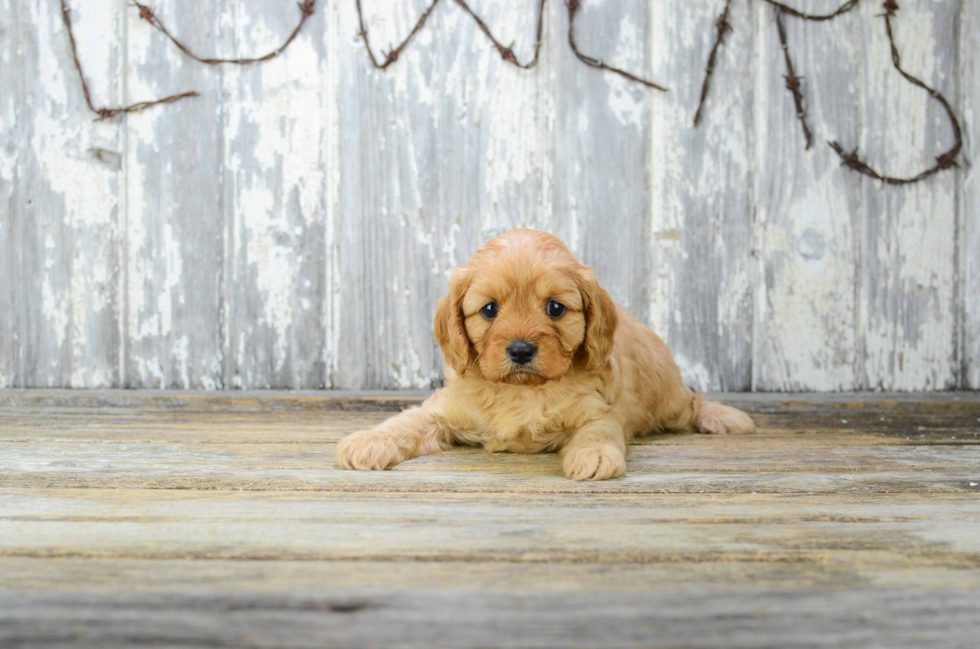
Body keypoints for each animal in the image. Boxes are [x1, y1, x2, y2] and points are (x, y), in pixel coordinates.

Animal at [336, 230, 756, 478]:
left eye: (555, 308)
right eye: (489, 309)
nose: (521, 350)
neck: (521, 390)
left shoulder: (600, 410)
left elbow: (597, 432)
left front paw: (593, 456)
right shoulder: (442, 410)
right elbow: (406, 421)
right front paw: (367, 441)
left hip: (666, 397)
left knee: (692, 402)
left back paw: (723, 417)